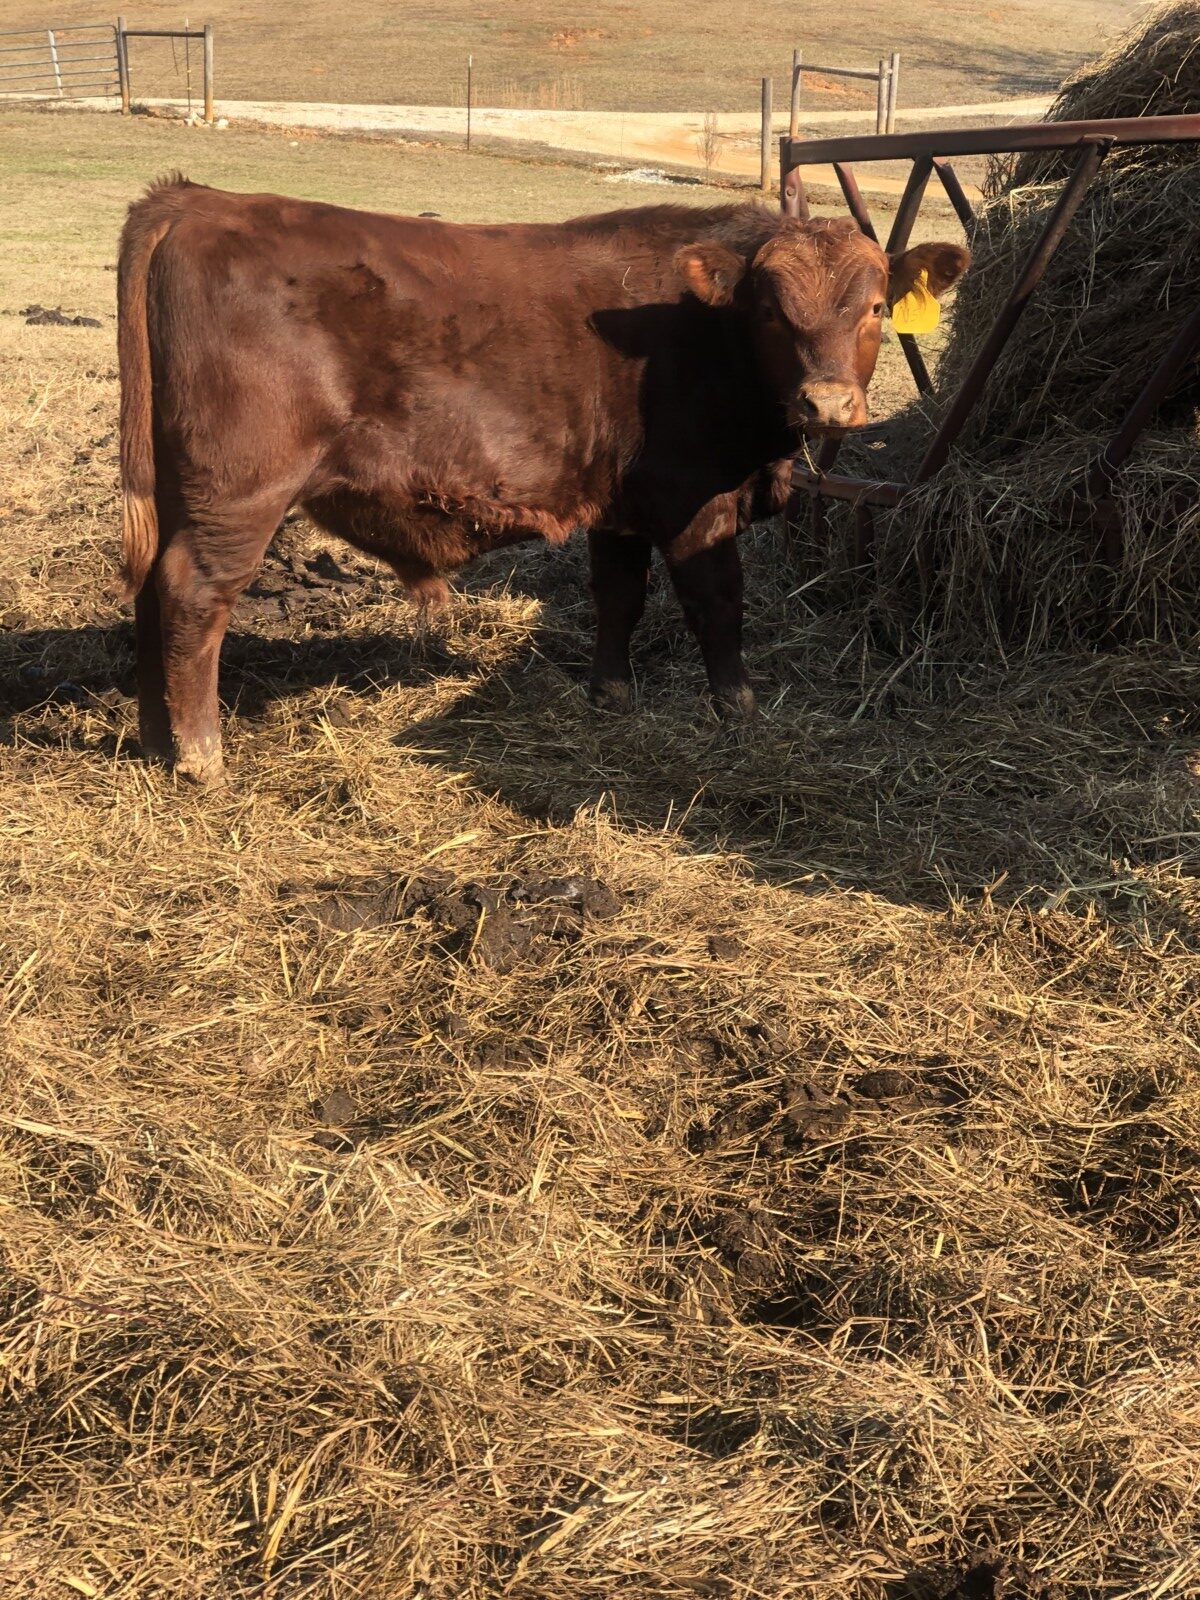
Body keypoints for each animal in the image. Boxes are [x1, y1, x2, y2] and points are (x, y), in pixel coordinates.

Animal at [117, 177, 968, 783]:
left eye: (877, 306)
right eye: (768, 311)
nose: (828, 403)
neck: (697, 329)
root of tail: (198, 200)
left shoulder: (622, 505)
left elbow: (618, 596)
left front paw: (611, 697)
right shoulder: (693, 498)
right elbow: (716, 603)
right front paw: (740, 708)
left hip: (176, 489)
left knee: (150, 591)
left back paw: (158, 739)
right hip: (240, 490)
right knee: (193, 592)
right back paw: (201, 756)